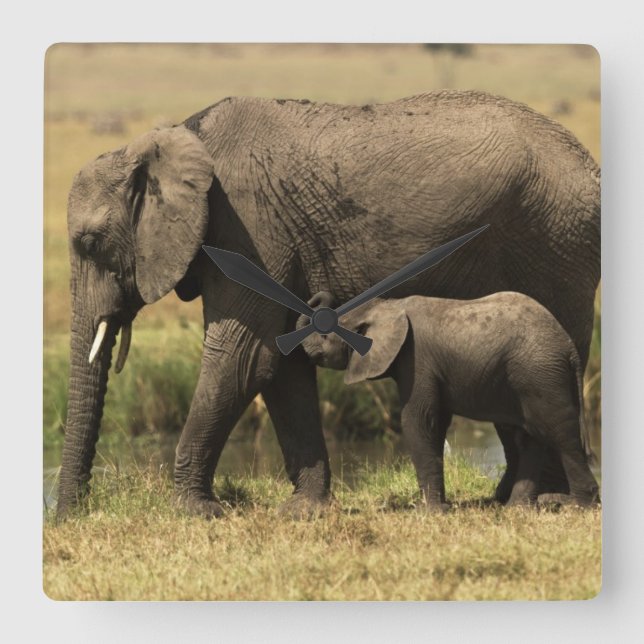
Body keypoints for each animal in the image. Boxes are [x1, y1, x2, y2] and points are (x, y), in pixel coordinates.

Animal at [296, 292, 600, 509]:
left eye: (325, 334)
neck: (386, 306)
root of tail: (569, 347)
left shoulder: (416, 359)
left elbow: (418, 420)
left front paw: (429, 511)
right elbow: (436, 421)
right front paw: (440, 507)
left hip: (539, 374)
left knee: (560, 434)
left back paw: (578, 506)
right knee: (531, 436)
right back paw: (517, 508)